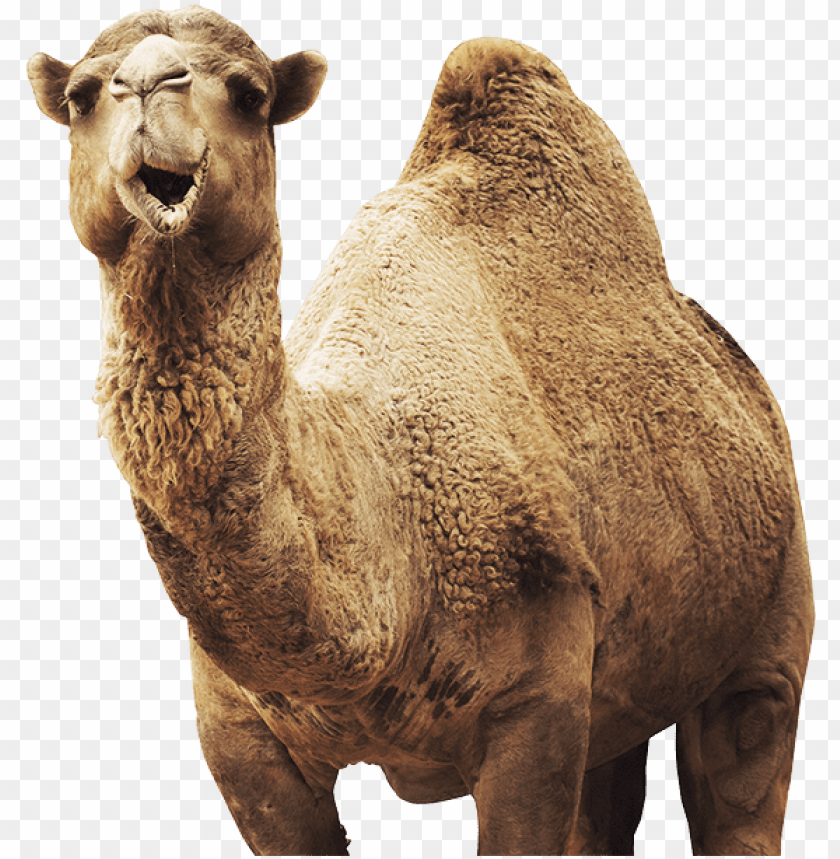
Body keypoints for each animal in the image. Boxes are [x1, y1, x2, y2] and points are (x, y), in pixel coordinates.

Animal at [28, 7, 814, 856]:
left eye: (250, 94)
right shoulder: (240, 733)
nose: (147, 83)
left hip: (773, 592)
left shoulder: (535, 700)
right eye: (80, 96)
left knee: (744, 756)